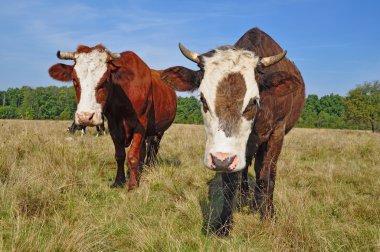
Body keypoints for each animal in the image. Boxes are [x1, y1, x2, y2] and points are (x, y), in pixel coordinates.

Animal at [48, 45, 177, 191]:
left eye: (105, 81)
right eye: (74, 79)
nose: (85, 117)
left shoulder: (141, 124)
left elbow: (133, 155)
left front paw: (133, 185)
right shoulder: (114, 125)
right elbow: (120, 155)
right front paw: (119, 181)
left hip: (159, 131)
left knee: (153, 150)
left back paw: (150, 168)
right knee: (144, 150)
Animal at [161, 28, 306, 236]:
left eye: (253, 101)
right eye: (203, 99)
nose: (222, 159)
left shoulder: (277, 133)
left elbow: (267, 178)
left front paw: (269, 216)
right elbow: (230, 184)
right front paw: (224, 225)